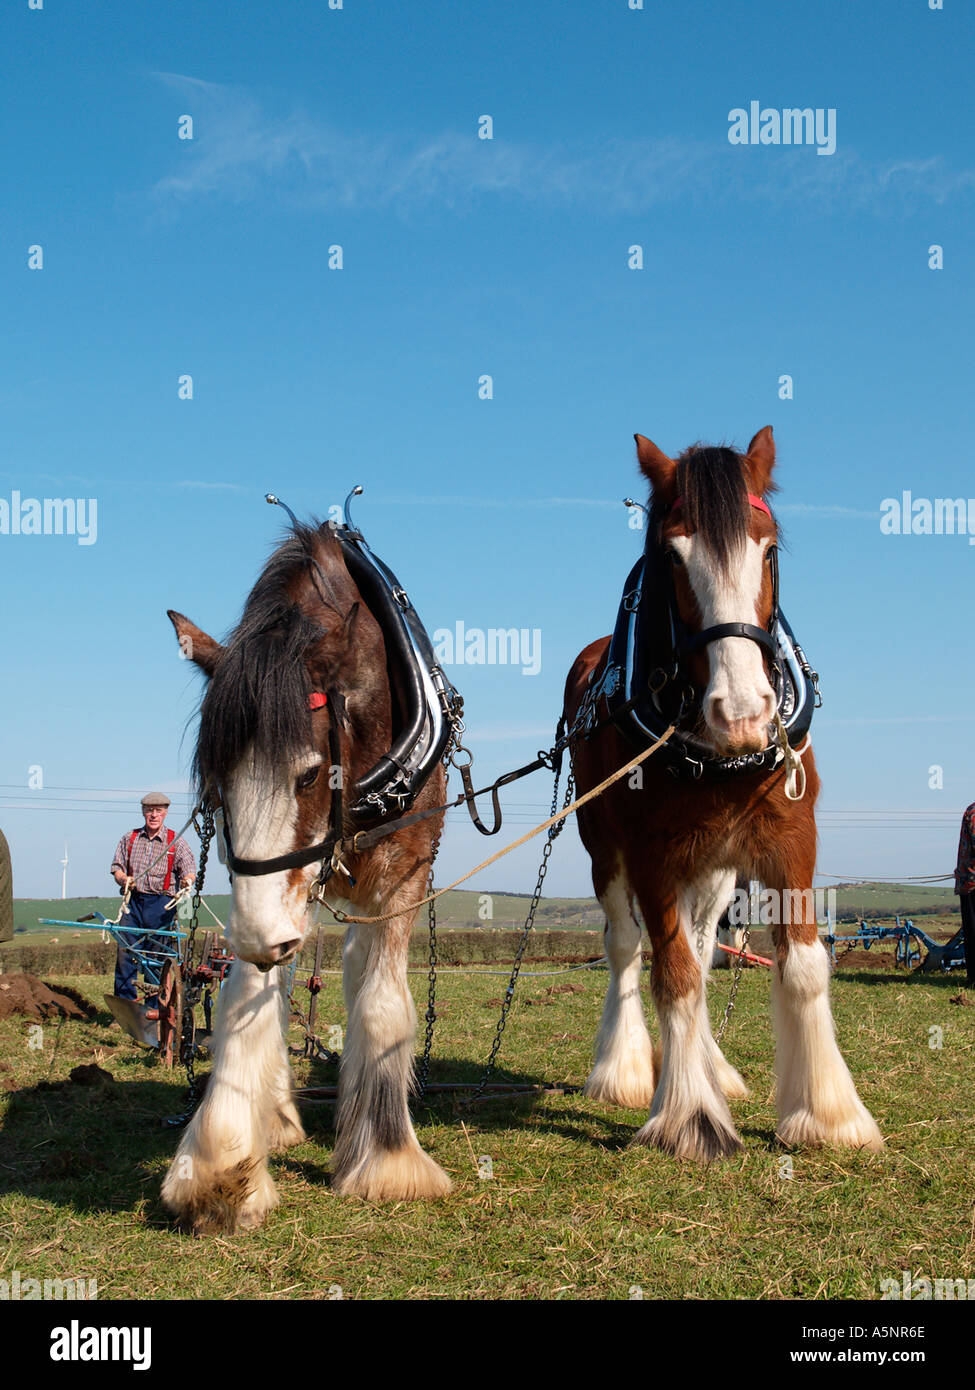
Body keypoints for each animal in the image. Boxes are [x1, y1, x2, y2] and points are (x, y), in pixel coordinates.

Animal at [161, 519, 453, 1228]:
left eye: (309, 774)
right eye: (218, 784)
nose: (262, 937)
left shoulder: (402, 877)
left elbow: (381, 1003)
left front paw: (388, 1160)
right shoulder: (266, 895)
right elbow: (249, 993)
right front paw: (219, 1161)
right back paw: (277, 1112)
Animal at [559, 425, 884, 1162]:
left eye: (767, 548)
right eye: (673, 555)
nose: (741, 713)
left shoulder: (791, 842)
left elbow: (800, 965)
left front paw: (827, 1114)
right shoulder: (650, 856)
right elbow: (671, 974)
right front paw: (689, 1117)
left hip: (713, 868)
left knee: (705, 948)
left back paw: (711, 1067)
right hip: (605, 850)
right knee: (629, 945)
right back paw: (624, 1070)